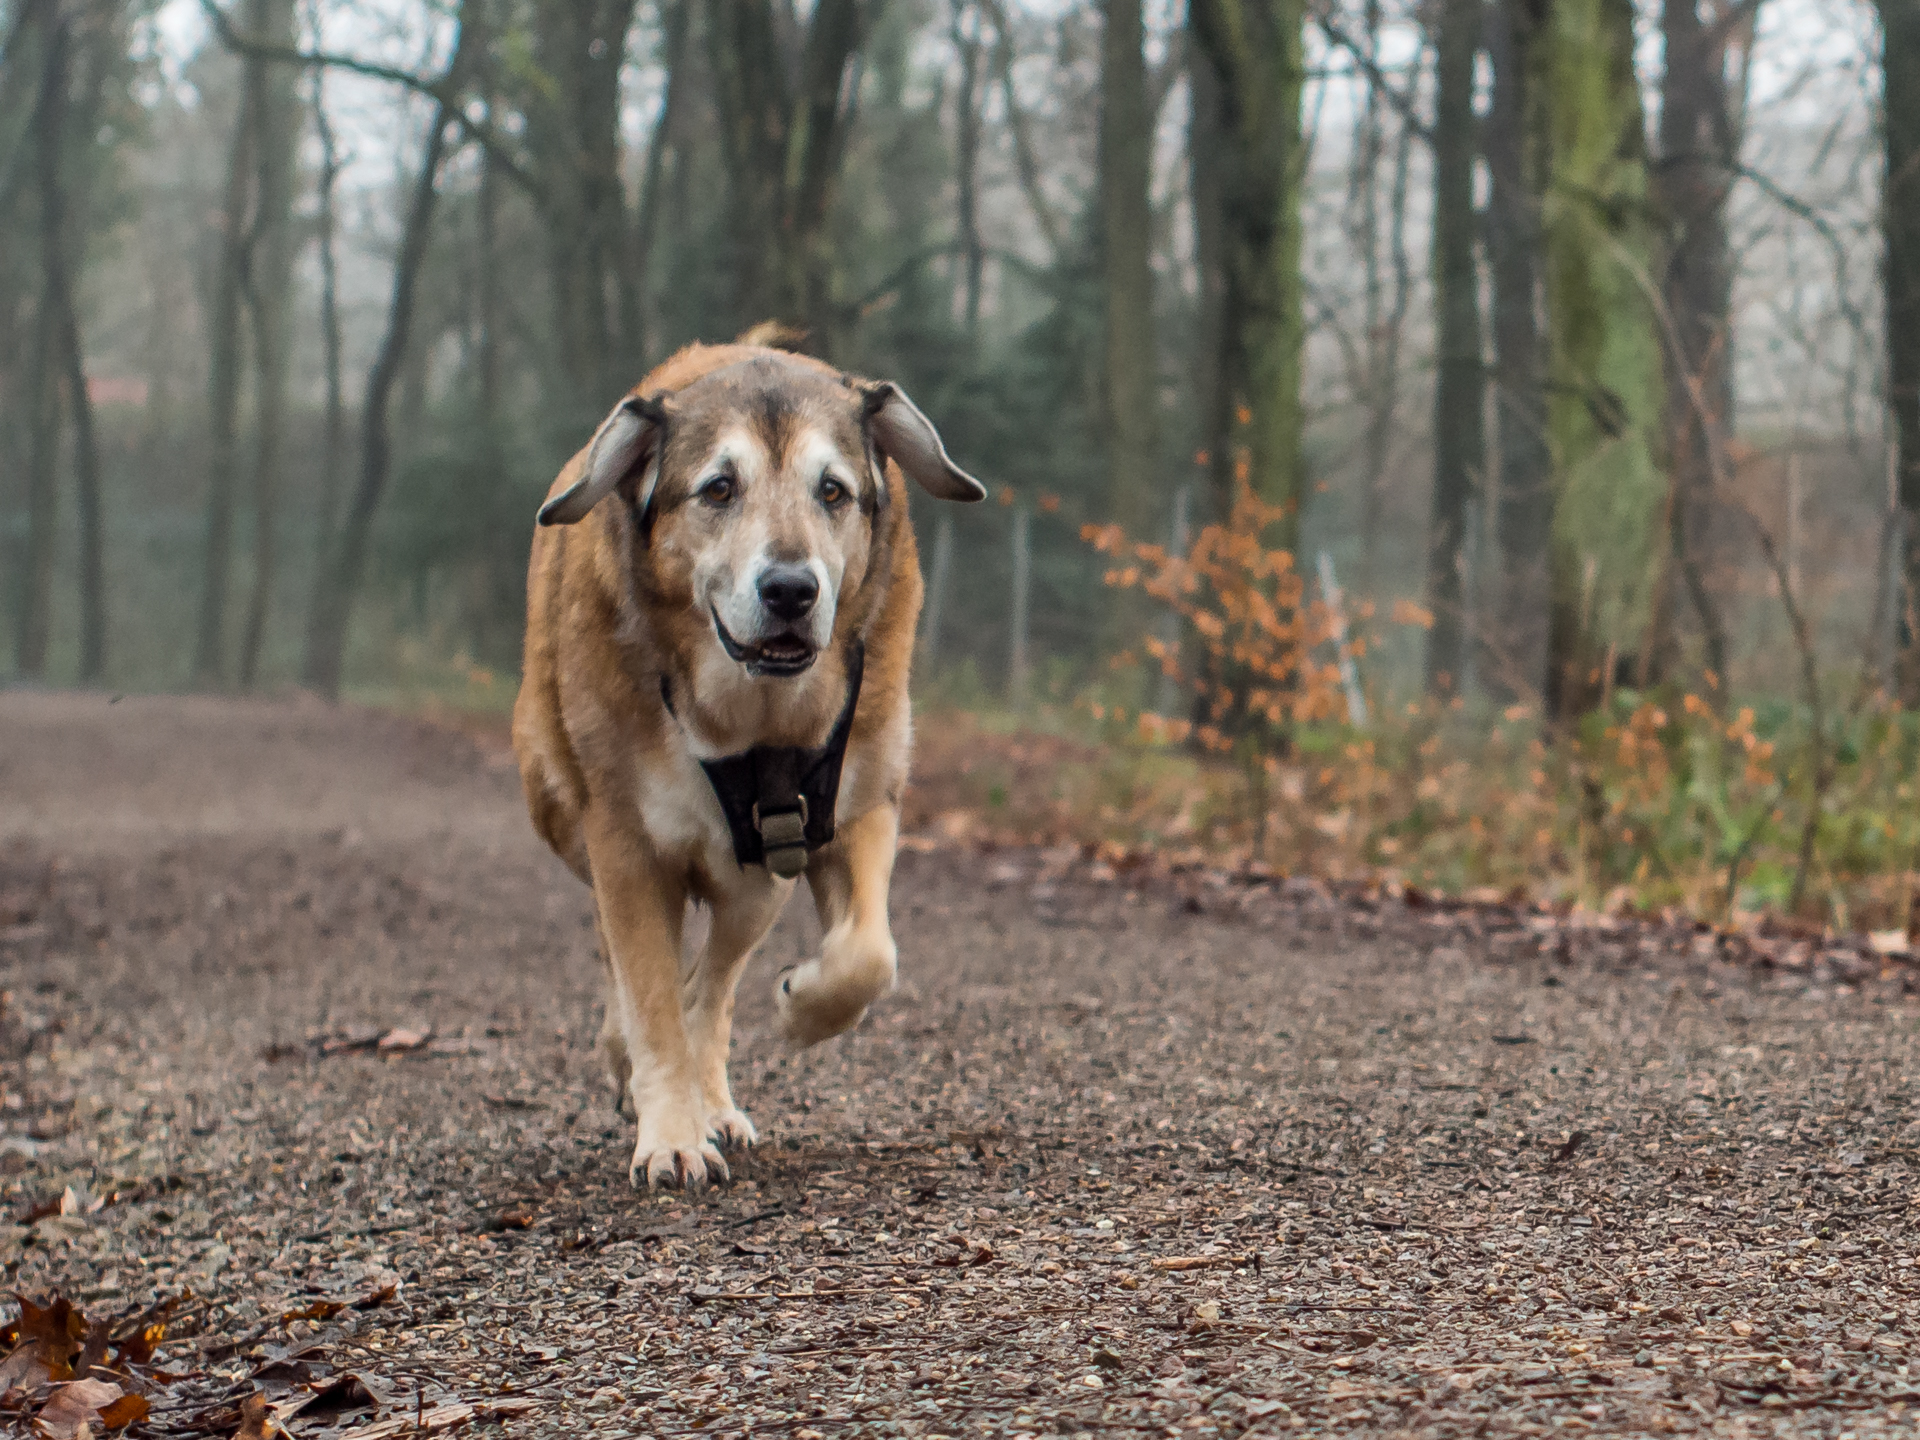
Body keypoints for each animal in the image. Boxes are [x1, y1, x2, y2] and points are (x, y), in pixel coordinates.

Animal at [510, 332, 983, 1190]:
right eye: (719, 487)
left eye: (832, 490)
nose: (792, 588)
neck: (749, 720)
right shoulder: (625, 845)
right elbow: (650, 996)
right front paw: (669, 1136)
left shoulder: (854, 807)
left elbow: (868, 954)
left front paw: (801, 1005)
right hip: (561, 807)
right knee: (639, 970)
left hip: (758, 882)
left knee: (714, 982)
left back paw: (716, 1100)